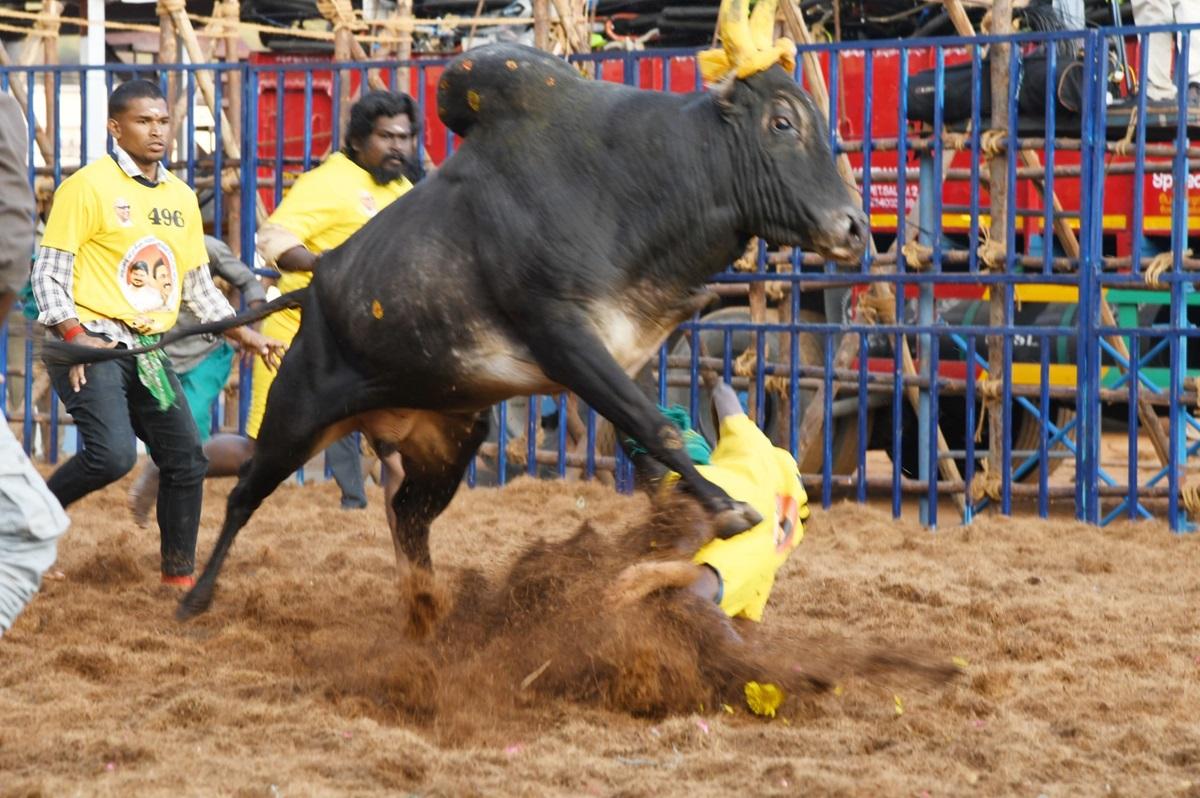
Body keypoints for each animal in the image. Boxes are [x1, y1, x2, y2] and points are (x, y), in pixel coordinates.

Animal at [51, 43, 868, 624]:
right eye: (783, 122)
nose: (855, 227)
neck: (631, 183)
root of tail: (320, 287)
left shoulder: (627, 347)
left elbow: (648, 427)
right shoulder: (566, 340)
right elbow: (655, 428)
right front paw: (727, 508)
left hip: (446, 441)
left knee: (405, 517)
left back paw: (427, 608)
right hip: (296, 418)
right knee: (245, 493)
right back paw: (193, 597)